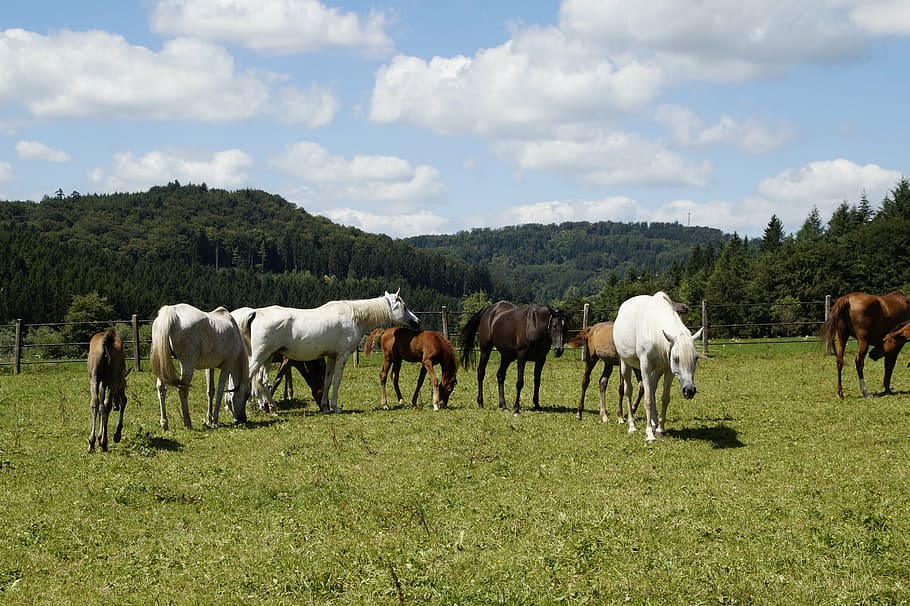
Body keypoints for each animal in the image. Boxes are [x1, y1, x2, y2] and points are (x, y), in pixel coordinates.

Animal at [246, 290, 419, 414]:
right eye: (404, 306)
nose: (417, 321)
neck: (354, 316)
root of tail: (255, 314)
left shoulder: (331, 356)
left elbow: (328, 381)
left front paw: (325, 407)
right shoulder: (342, 356)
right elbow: (336, 381)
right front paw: (335, 407)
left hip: (267, 358)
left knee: (262, 381)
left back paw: (272, 408)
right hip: (259, 357)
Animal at [613, 292, 703, 442]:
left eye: (696, 358)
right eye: (676, 358)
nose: (689, 391)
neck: (655, 331)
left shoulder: (668, 370)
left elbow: (664, 398)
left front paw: (660, 429)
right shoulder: (645, 367)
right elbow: (648, 400)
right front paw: (649, 434)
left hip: (657, 370)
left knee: (653, 387)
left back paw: (654, 423)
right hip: (626, 364)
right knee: (628, 391)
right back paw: (632, 426)